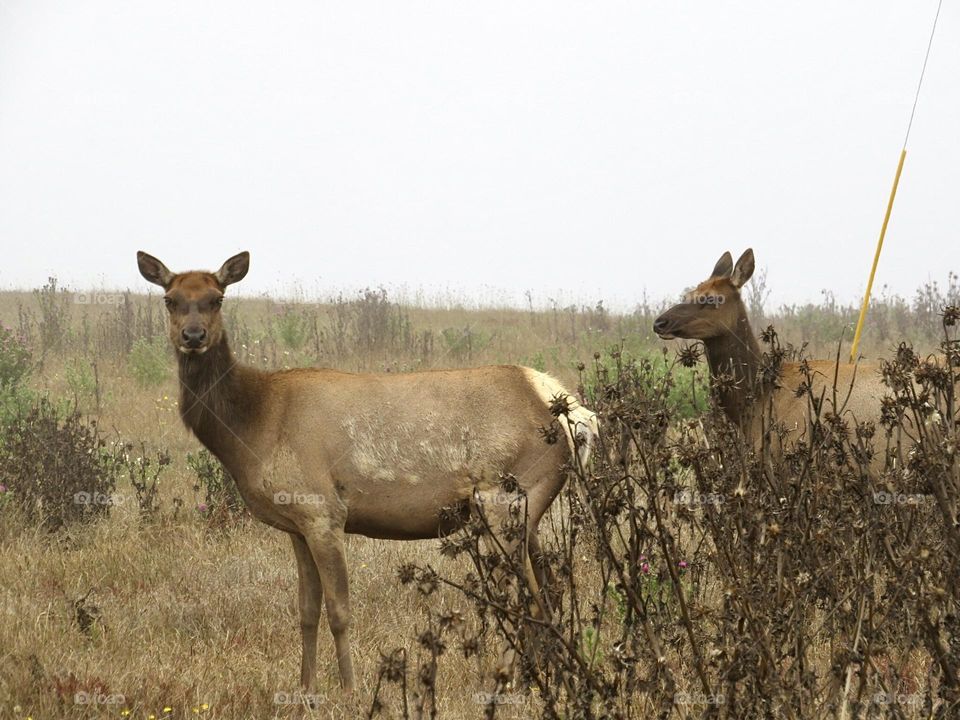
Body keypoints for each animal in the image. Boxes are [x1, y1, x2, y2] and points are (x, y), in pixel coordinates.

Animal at [138, 252, 596, 692]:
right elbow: (306, 610)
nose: (192, 336)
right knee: (549, 590)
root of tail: (571, 412)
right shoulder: (296, 523)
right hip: (525, 511)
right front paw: (306, 688)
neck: (253, 426)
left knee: (523, 597)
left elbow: (339, 610)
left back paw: (505, 681)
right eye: (169, 299)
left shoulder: (322, 510)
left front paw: (350, 688)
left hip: (505, 499)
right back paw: (542, 678)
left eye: (217, 298)